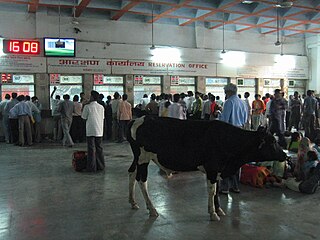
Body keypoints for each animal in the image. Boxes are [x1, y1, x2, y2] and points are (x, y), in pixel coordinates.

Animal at [127, 116, 288, 221]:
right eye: (272, 141)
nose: (285, 155)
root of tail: (138, 119)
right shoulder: (212, 168)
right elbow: (212, 190)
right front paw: (213, 213)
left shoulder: (217, 170)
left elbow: (216, 189)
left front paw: (219, 210)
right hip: (143, 158)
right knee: (142, 180)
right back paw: (152, 209)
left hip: (137, 158)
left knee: (131, 173)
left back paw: (133, 202)